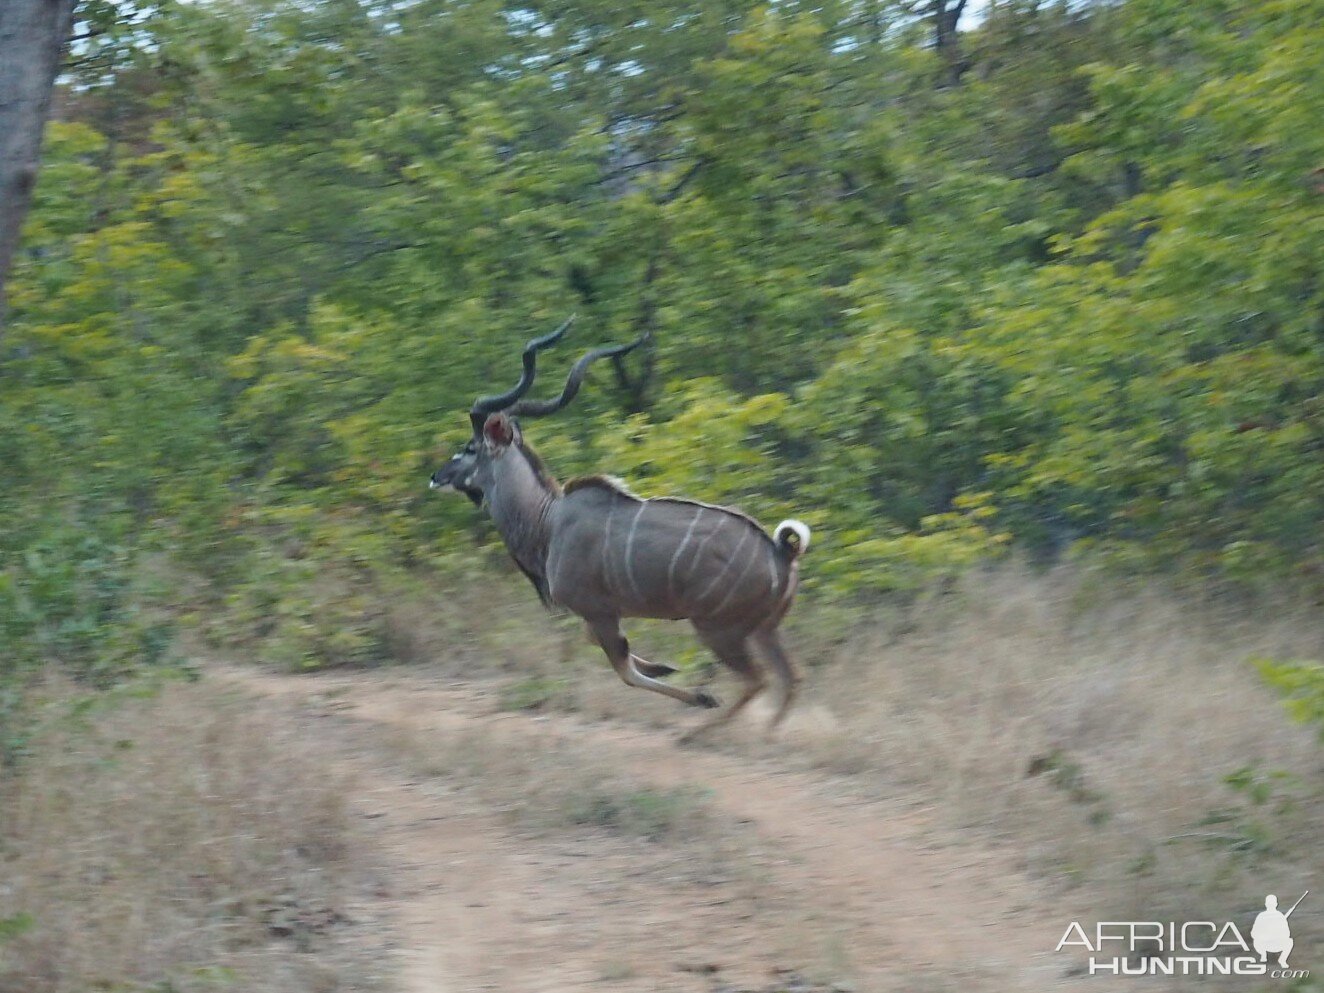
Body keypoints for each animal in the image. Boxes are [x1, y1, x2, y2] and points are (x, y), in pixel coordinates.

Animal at [428, 319, 810, 741]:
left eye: (470, 447)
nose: (436, 477)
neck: (547, 521)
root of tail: (782, 552)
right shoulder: (600, 614)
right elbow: (607, 648)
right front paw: (665, 666)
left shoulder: (598, 610)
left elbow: (623, 669)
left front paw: (700, 694)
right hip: (764, 630)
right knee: (791, 678)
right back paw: (767, 736)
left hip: (718, 628)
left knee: (758, 680)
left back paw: (697, 733)